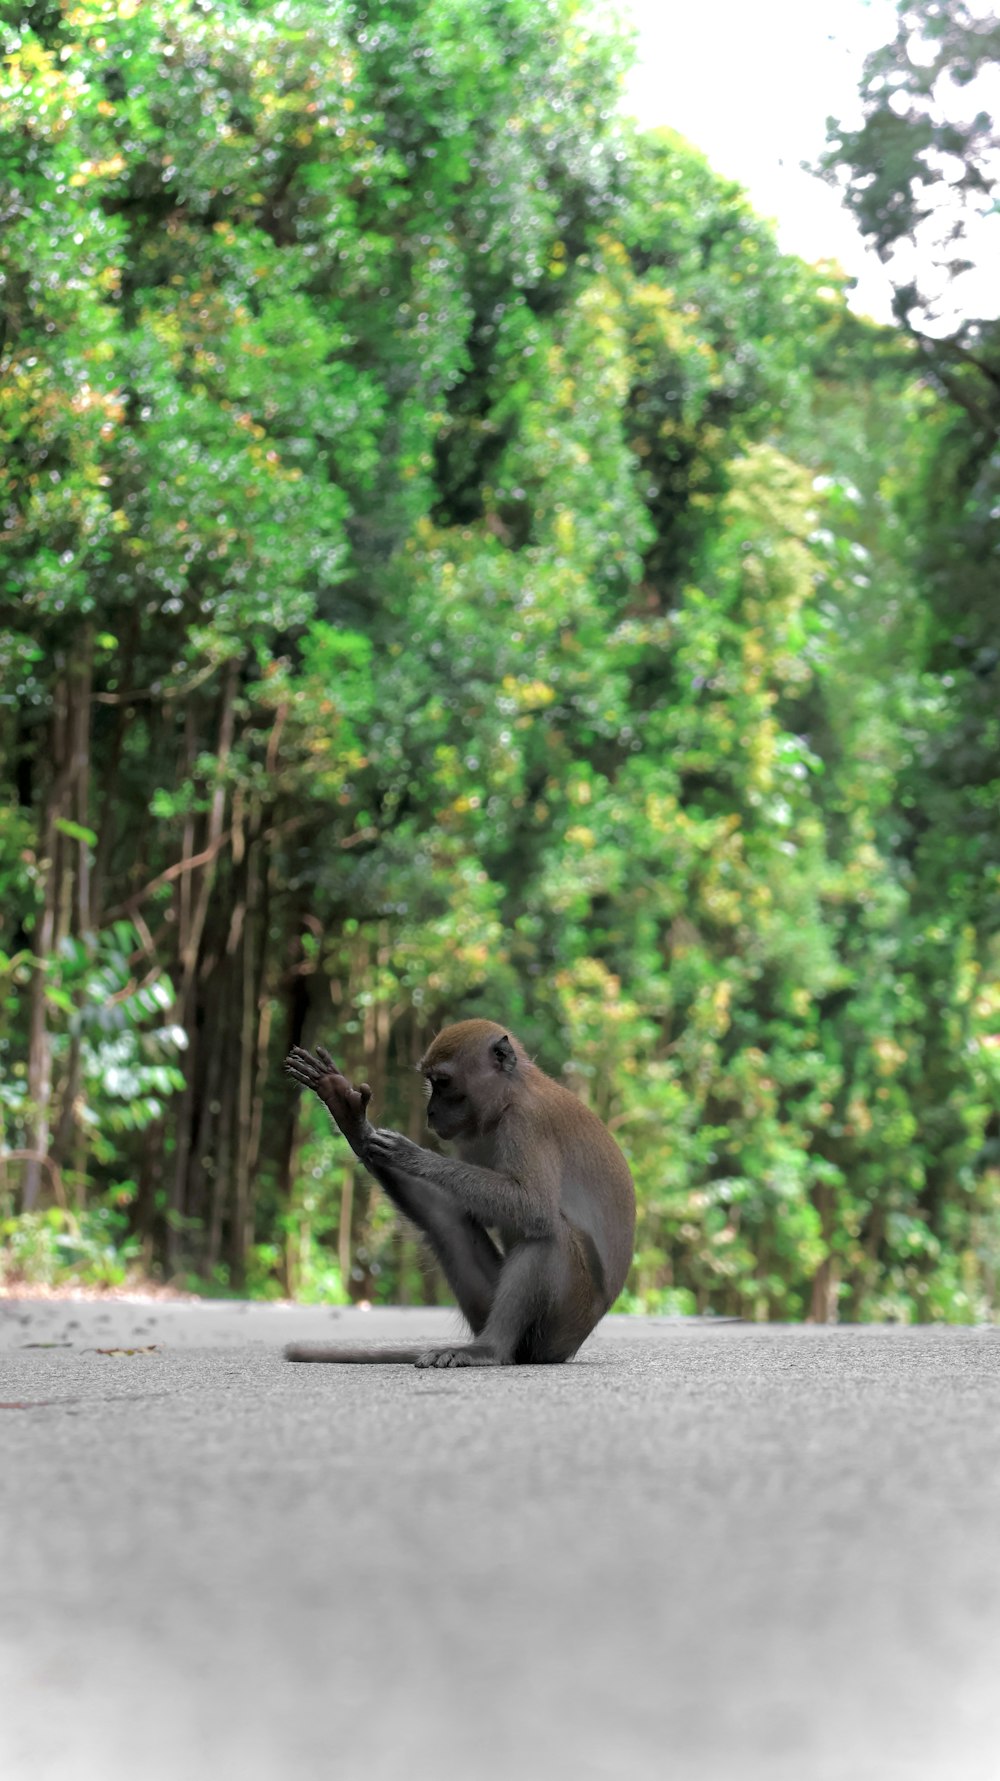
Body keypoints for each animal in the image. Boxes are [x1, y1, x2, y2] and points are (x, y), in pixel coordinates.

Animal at [285, 1025, 634, 1367]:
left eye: (442, 1082)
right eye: (431, 1083)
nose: (431, 1111)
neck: (511, 1094)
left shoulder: (528, 1122)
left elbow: (533, 1207)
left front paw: (416, 1157)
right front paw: (351, 1120)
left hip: (564, 1321)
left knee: (549, 1233)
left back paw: (490, 1349)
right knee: (448, 1224)